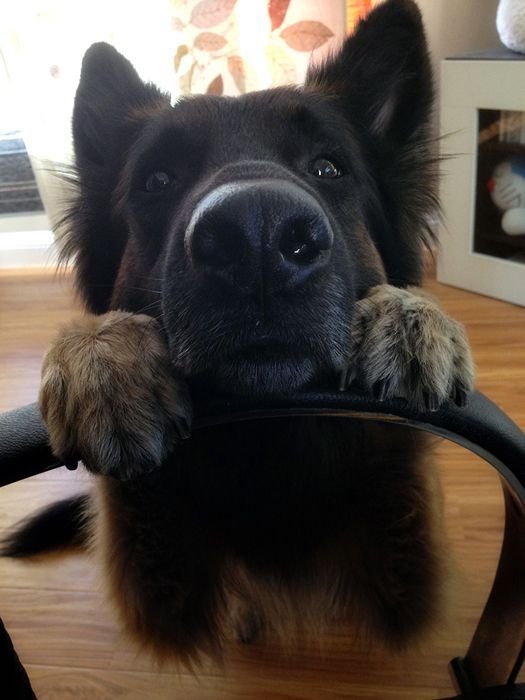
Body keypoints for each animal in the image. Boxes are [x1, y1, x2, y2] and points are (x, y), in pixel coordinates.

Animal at [4, 0, 472, 668]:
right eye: (157, 181)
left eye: (328, 168)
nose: (258, 237)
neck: (267, 439)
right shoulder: (164, 601)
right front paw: (101, 356)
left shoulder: (407, 592)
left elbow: (398, 451)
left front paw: (410, 318)